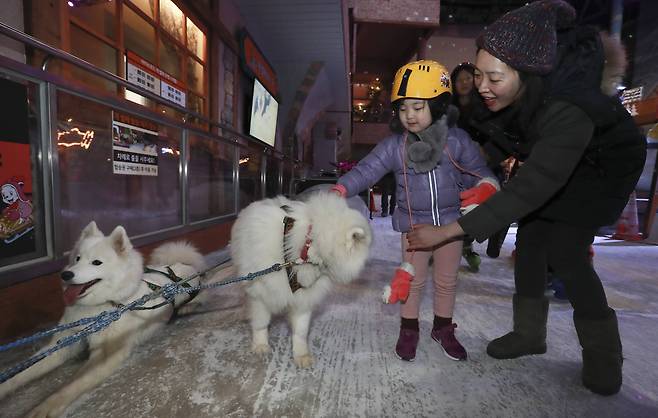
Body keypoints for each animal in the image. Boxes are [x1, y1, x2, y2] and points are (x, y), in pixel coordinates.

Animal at [0, 220, 205, 416]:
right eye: (77, 258)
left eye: (96, 262)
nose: (65, 274)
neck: (99, 307)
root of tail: (179, 266)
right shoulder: (64, 343)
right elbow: (22, 371)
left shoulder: (107, 353)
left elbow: (70, 386)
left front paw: (44, 409)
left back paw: (188, 306)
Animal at [229, 191, 368, 368]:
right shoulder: (260, 293)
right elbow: (261, 322)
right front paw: (260, 345)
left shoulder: (304, 297)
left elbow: (301, 331)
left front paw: (301, 355)